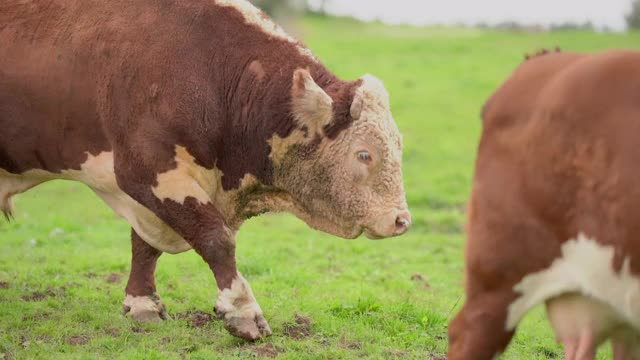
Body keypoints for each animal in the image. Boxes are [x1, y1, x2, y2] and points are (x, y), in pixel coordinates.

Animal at [0, 0, 410, 340]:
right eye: (364, 154)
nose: (401, 220)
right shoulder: (147, 170)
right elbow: (216, 239)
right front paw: (243, 311)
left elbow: (145, 246)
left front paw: (142, 304)